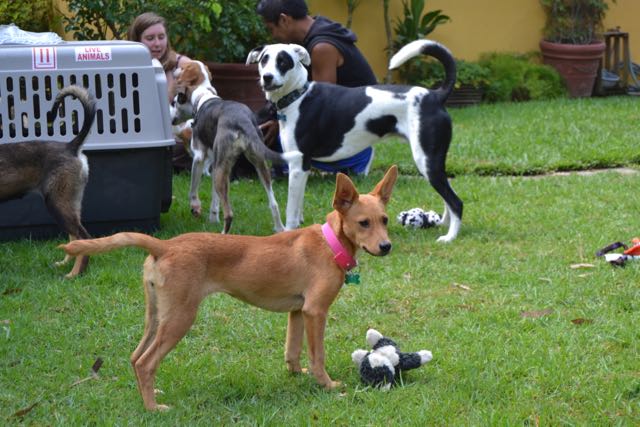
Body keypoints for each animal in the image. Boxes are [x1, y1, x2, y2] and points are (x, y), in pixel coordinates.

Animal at [0, 85, 96, 277]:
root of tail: (70, 147)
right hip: (70, 203)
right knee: (74, 237)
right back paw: (65, 264)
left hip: (57, 202)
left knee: (83, 237)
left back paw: (74, 274)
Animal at [60, 165, 398, 411]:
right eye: (364, 223)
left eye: (384, 219)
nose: (386, 247)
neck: (329, 243)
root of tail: (164, 246)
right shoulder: (316, 312)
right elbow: (318, 356)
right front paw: (327, 386)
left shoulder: (298, 311)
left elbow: (292, 351)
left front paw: (296, 376)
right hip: (180, 318)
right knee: (146, 362)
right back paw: (154, 409)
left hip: (155, 316)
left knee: (135, 357)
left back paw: (150, 396)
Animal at [172, 60, 302, 233]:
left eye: (175, 101)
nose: (172, 120)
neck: (204, 97)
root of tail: (242, 120)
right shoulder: (215, 164)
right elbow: (215, 200)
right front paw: (213, 218)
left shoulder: (199, 157)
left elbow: (193, 189)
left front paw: (195, 208)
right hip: (258, 165)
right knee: (273, 204)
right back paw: (280, 229)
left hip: (223, 169)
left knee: (229, 213)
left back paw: (222, 235)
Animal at [247, 39, 463, 242]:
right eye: (264, 59)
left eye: (283, 61)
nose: (267, 77)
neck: (298, 97)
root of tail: (434, 96)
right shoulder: (301, 168)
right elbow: (298, 203)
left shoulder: (298, 165)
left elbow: (291, 210)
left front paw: (289, 233)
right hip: (432, 162)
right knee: (448, 195)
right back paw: (444, 223)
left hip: (426, 161)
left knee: (456, 202)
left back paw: (450, 237)